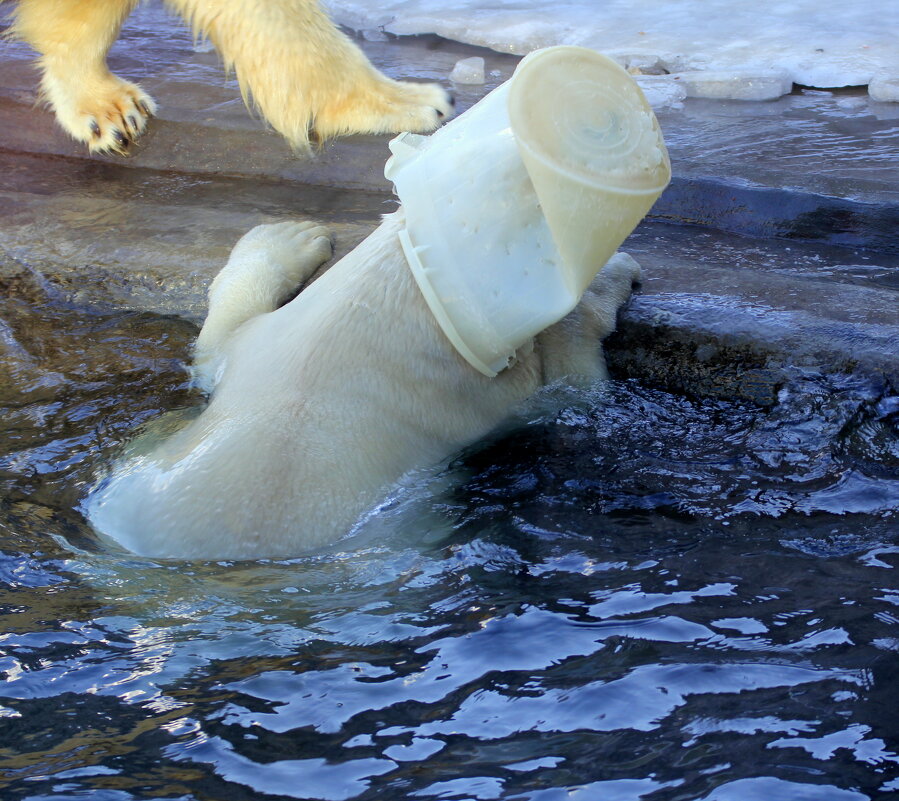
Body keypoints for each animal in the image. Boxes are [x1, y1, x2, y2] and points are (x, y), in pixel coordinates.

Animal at [86, 216, 640, 560]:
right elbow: (572, 388)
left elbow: (218, 334)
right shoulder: (472, 404)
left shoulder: (253, 351)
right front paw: (606, 282)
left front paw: (289, 234)